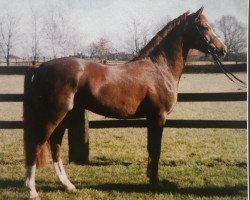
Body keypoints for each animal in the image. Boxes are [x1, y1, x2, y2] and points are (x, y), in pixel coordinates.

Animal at [23, 7, 227, 198]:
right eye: (204, 26)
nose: (222, 49)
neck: (160, 69)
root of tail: (41, 67)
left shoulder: (151, 118)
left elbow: (151, 149)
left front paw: (151, 179)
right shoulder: (158, 117)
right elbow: (156, 150)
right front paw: (156, 184)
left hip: (64, 116)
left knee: (55, 146)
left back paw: (68, 185)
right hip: (52, 116)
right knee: (36, 146)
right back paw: (32, 191)